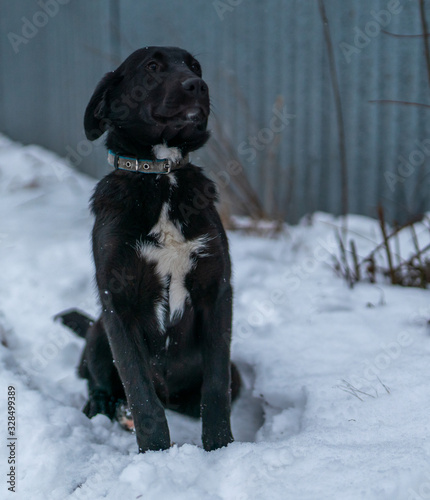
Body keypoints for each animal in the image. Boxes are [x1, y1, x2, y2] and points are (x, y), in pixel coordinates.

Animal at [55, 47, 240, 454]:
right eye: (152, 67)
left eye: (194, 66)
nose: (197, 85)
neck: (160, 176)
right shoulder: (118, 303)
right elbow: (139, 390)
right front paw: (155, 452)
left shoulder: (216, 291)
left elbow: (216, 387)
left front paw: (220, 446)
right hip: (99, 331)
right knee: (99, 382)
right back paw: (106, 406)